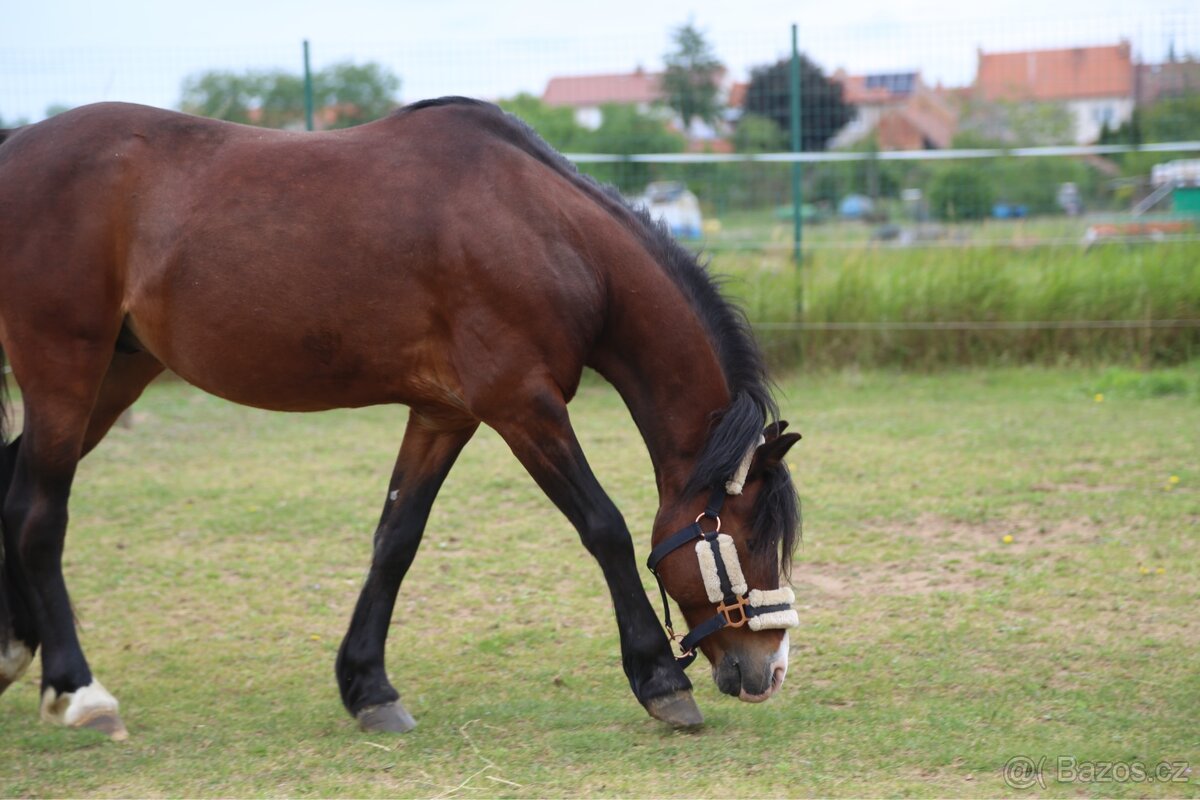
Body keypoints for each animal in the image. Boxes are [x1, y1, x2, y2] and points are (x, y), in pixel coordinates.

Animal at [0, 98, 800, 740]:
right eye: (747, 539)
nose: (770, 671)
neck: (543, 230)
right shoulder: (522, 404)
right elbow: (604, 527)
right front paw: (660, 680)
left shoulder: (444, 414)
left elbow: (396, 539)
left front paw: (368, 688)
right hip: (64, 369)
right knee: (40, 514)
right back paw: (79, 691)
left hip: (114, 375)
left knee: (15, 486)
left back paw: (17, 651)